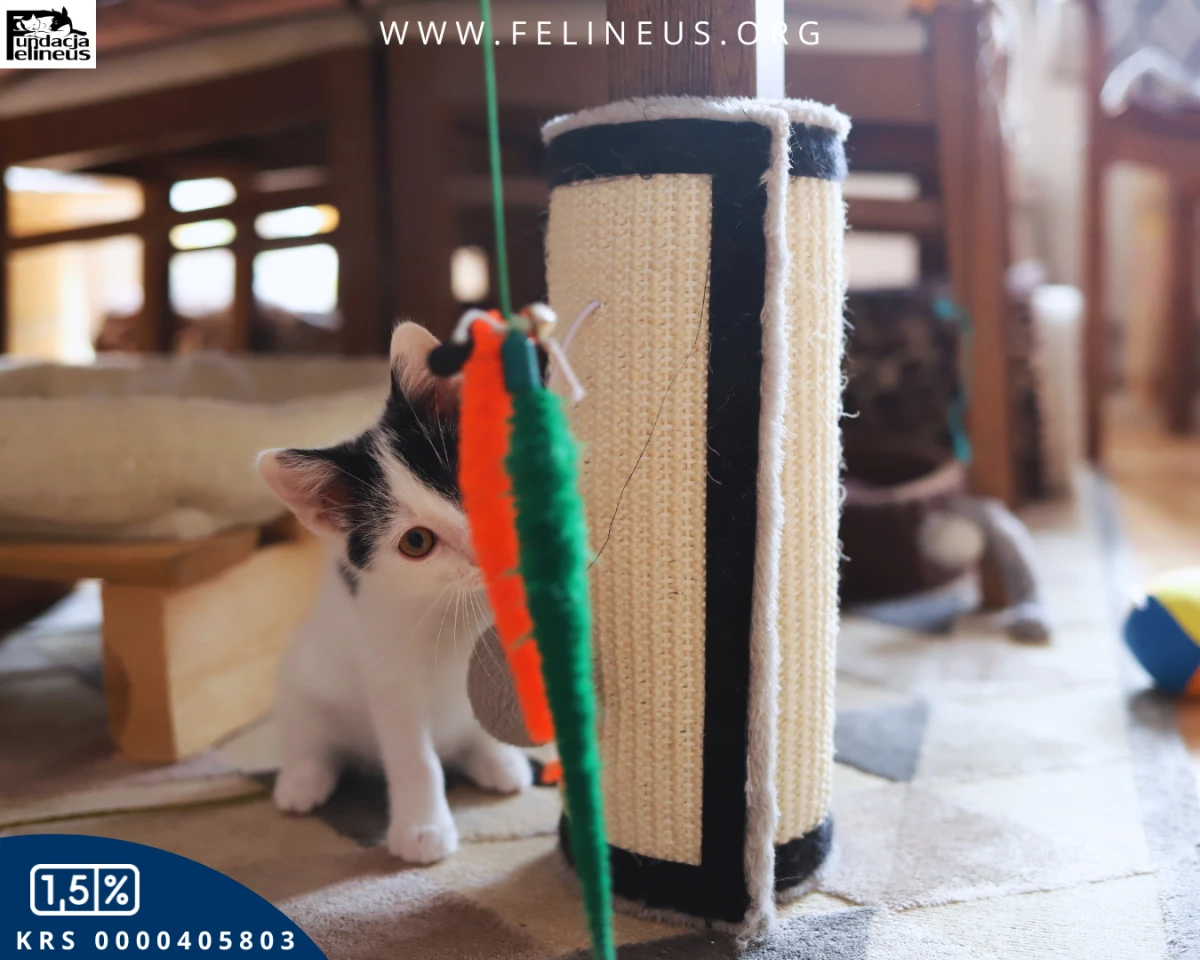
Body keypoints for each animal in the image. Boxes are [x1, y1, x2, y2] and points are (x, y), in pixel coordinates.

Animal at [257, 321, 532, 864]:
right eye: (416, 542)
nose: (484, 550)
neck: (453, 604)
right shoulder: (388, 668)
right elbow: (413, 754)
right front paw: (422, 830)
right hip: (301, 682)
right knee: (310, 734)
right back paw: (302, 781)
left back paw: (495, 762)